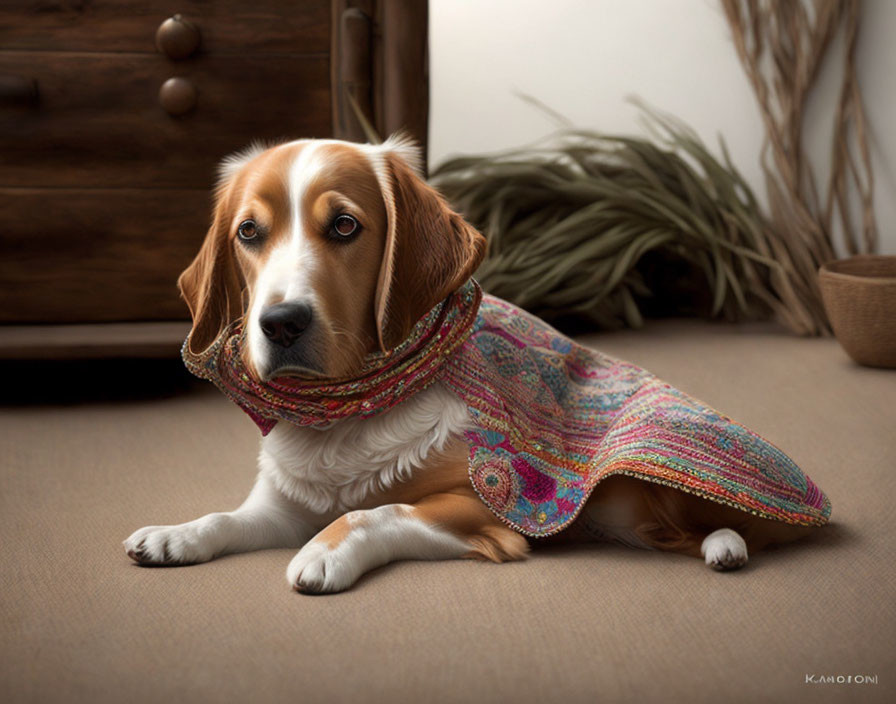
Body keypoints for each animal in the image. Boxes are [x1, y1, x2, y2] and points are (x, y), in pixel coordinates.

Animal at [124, 135, 820, 592]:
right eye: (249, 233)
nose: (281, 322)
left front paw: (326, 551)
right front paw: (174, 535)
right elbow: (224, 517)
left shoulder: (484, 510)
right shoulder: (281, 507)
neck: (348, 413)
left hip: (649, 468)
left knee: (740, 523)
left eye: (345, 226)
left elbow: (375, 510)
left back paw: (728, 544)